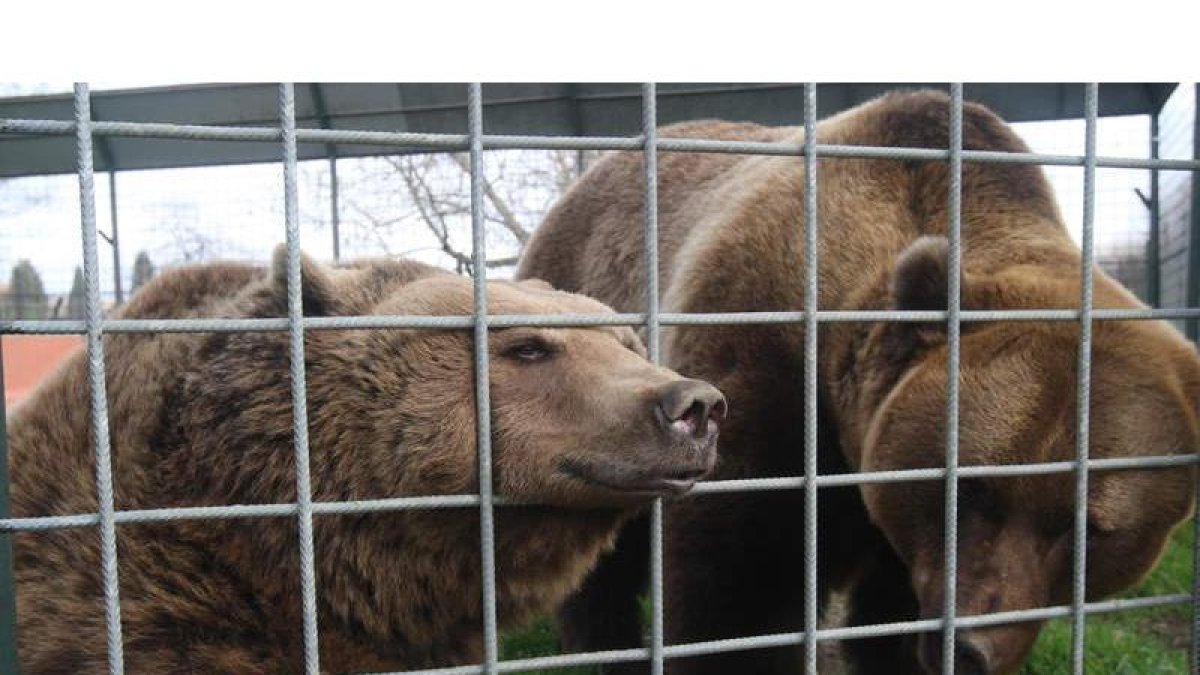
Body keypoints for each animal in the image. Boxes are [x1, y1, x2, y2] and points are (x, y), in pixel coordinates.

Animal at [517, 90, 1200, 674]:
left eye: (1089, 529)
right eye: (971, 487)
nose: (970, 647)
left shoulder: (905, 537)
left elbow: (888, 620)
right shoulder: (764, 379)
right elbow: (735, 593)